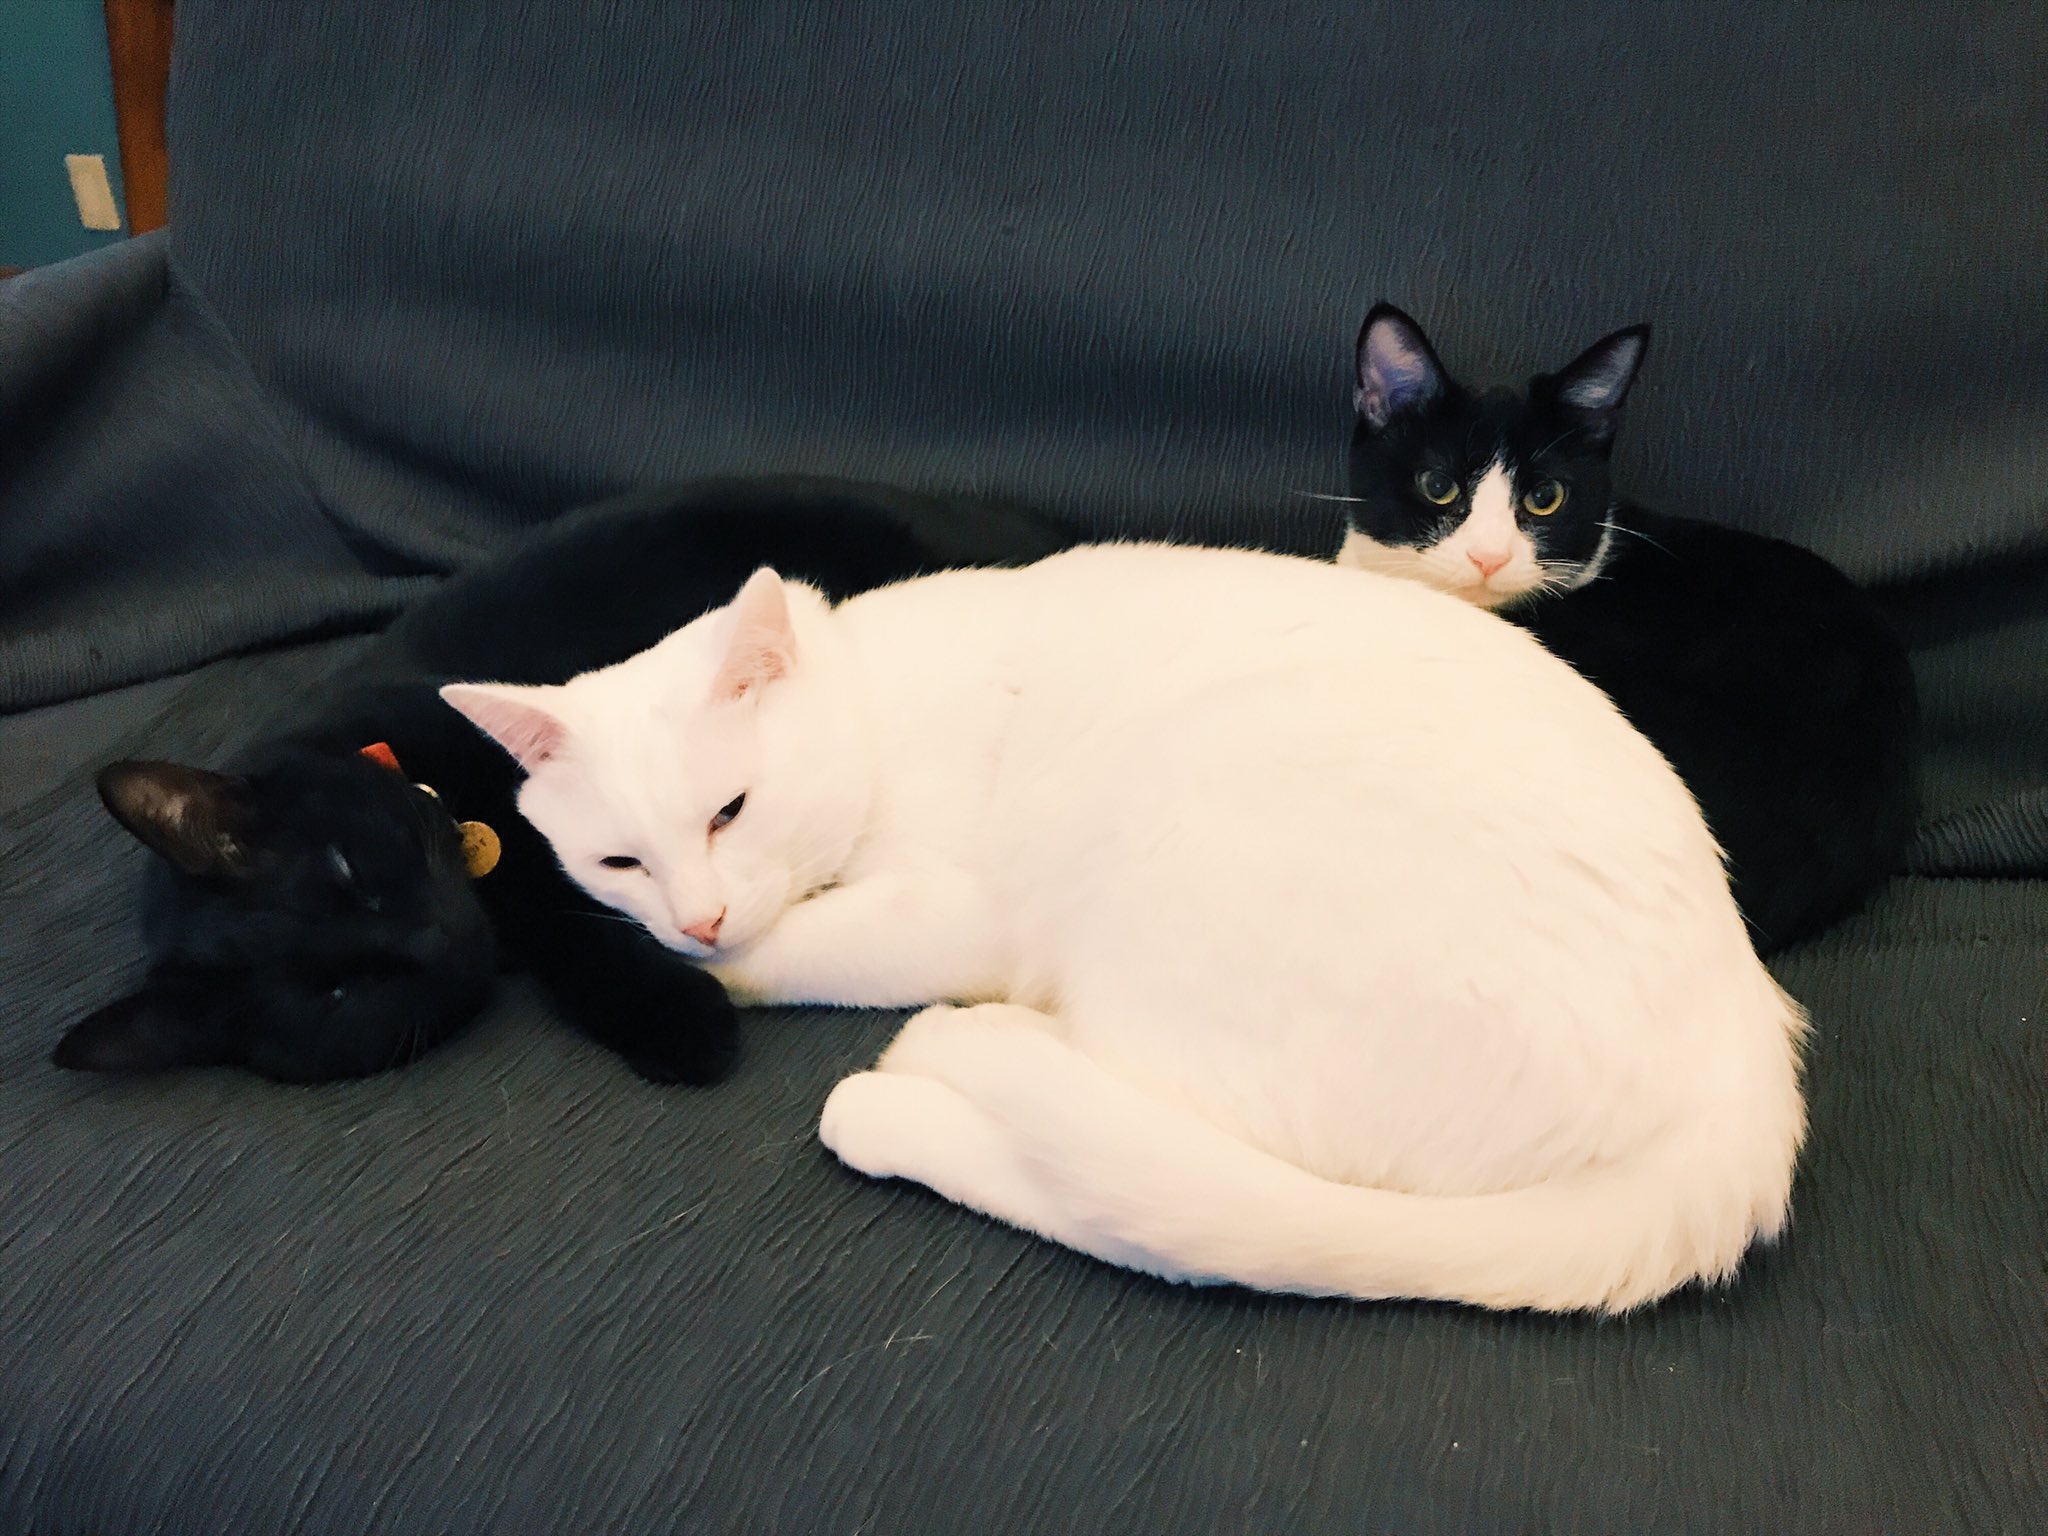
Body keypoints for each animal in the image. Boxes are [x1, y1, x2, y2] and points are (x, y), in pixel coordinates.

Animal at [58, 477, 1076, 1085]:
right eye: (341, 995)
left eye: (347, 871)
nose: (433, 939)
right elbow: (574, 917)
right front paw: (671, 1011)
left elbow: (565, 904)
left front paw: (677, 1014)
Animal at [446, 543, 1808, 1313]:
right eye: (620, 860)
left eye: (730, 811)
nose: (700, 914)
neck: (873, 704)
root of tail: (1738, 1071)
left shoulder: (950, 915)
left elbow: (787, 955)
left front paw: (710, 970)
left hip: (1184, 824)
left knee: (1146, 1209)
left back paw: (924, 1080)